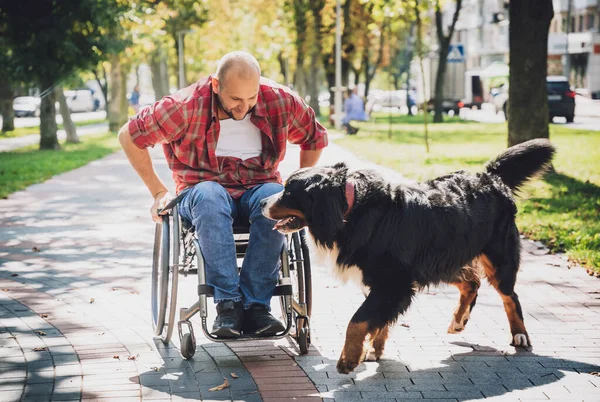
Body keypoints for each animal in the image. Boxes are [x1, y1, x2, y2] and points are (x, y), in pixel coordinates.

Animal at [262, 139, 556, 374]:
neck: (350, 208)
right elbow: (377, 318)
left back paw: (519, 334)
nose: (263, 202)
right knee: (471, 283)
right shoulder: (386, 282)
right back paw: (458, 321)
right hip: (441, 260)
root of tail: (489, 177)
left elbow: (358, 320)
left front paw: (349, 358)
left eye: (288, 191)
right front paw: (374, 349)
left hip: (495, 257)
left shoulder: (394, 281)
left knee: (509, 296)